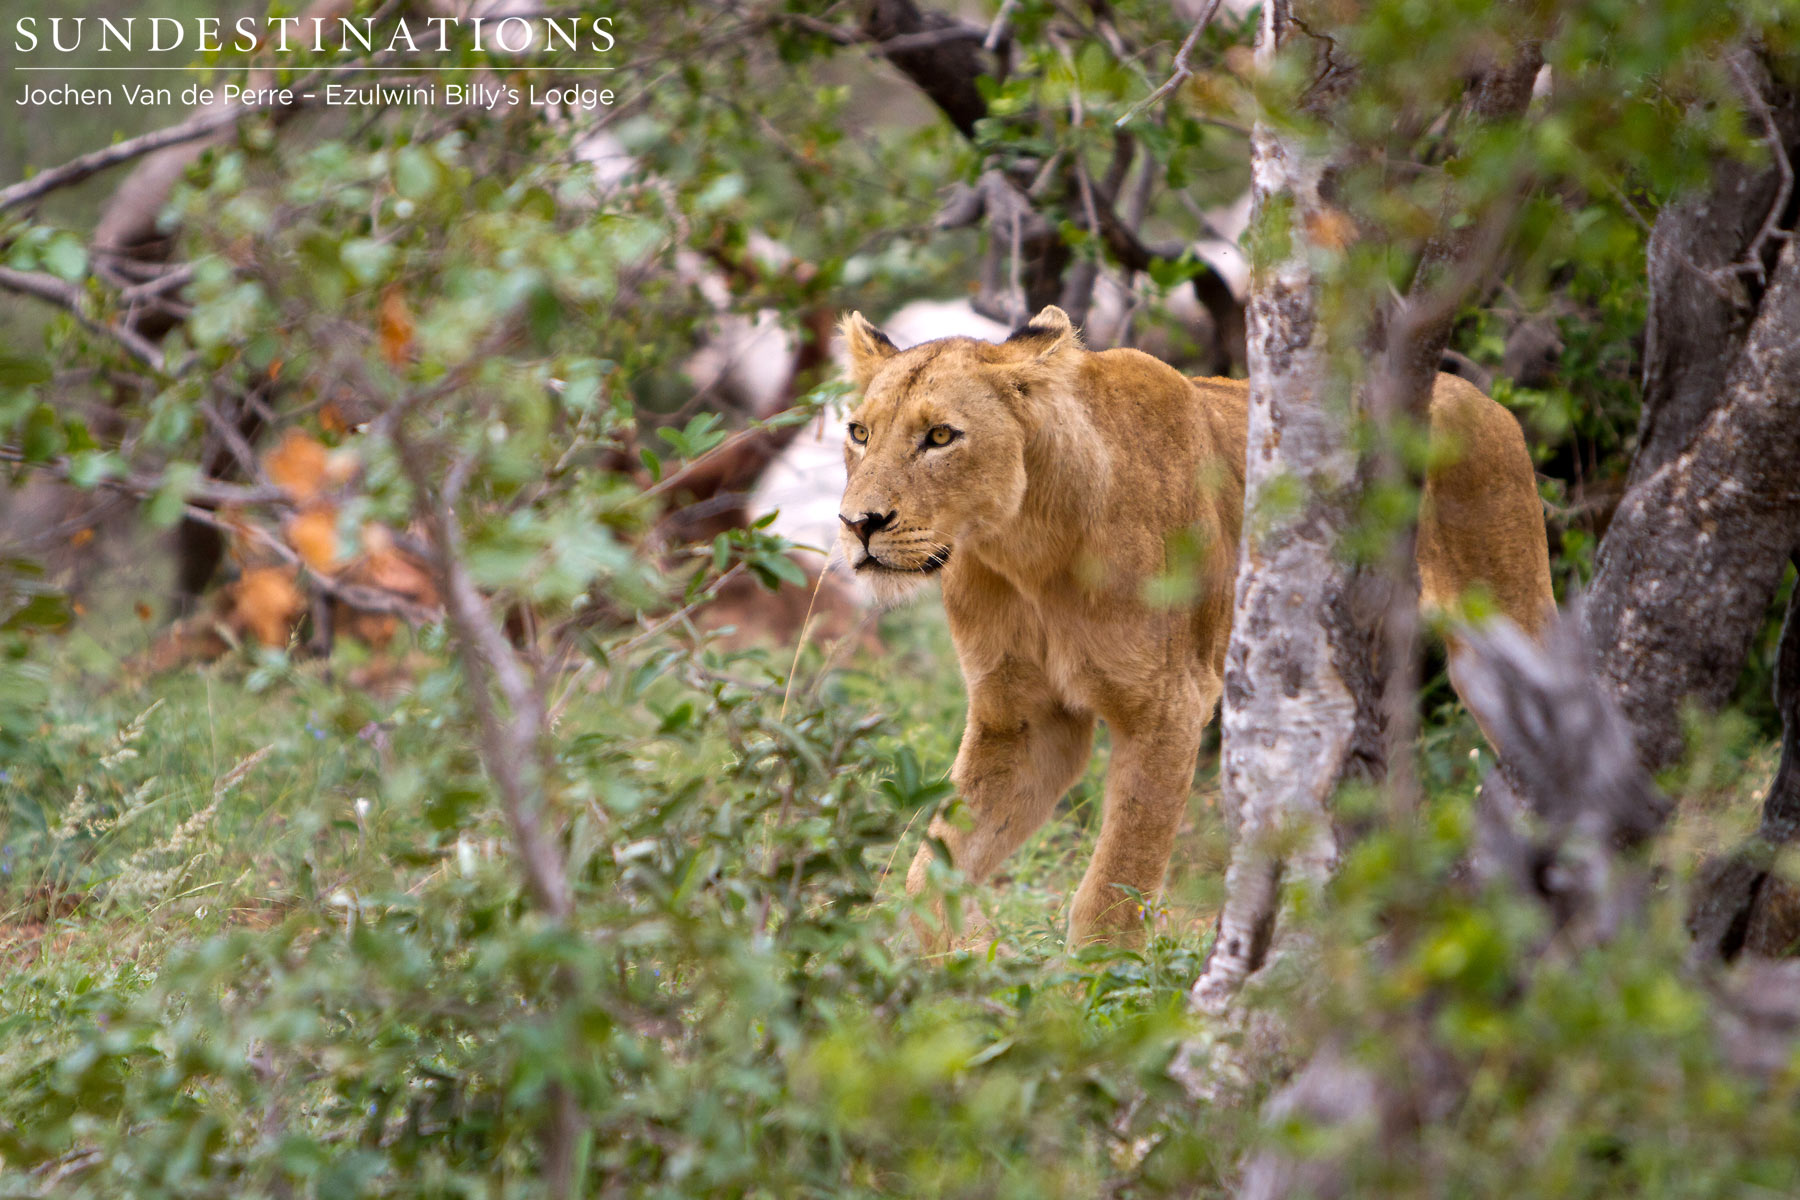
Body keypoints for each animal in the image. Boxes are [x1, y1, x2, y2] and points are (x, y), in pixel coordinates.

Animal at [837, 304, 1554, 946]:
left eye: (940, 437)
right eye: (859, 433)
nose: (858, 524)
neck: (1022, 550)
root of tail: (1476, 395)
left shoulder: (1169, 704)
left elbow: (1113, 890)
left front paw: (1104, 999)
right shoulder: (1024, 718)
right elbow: (931, 870)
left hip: (1499, 633)